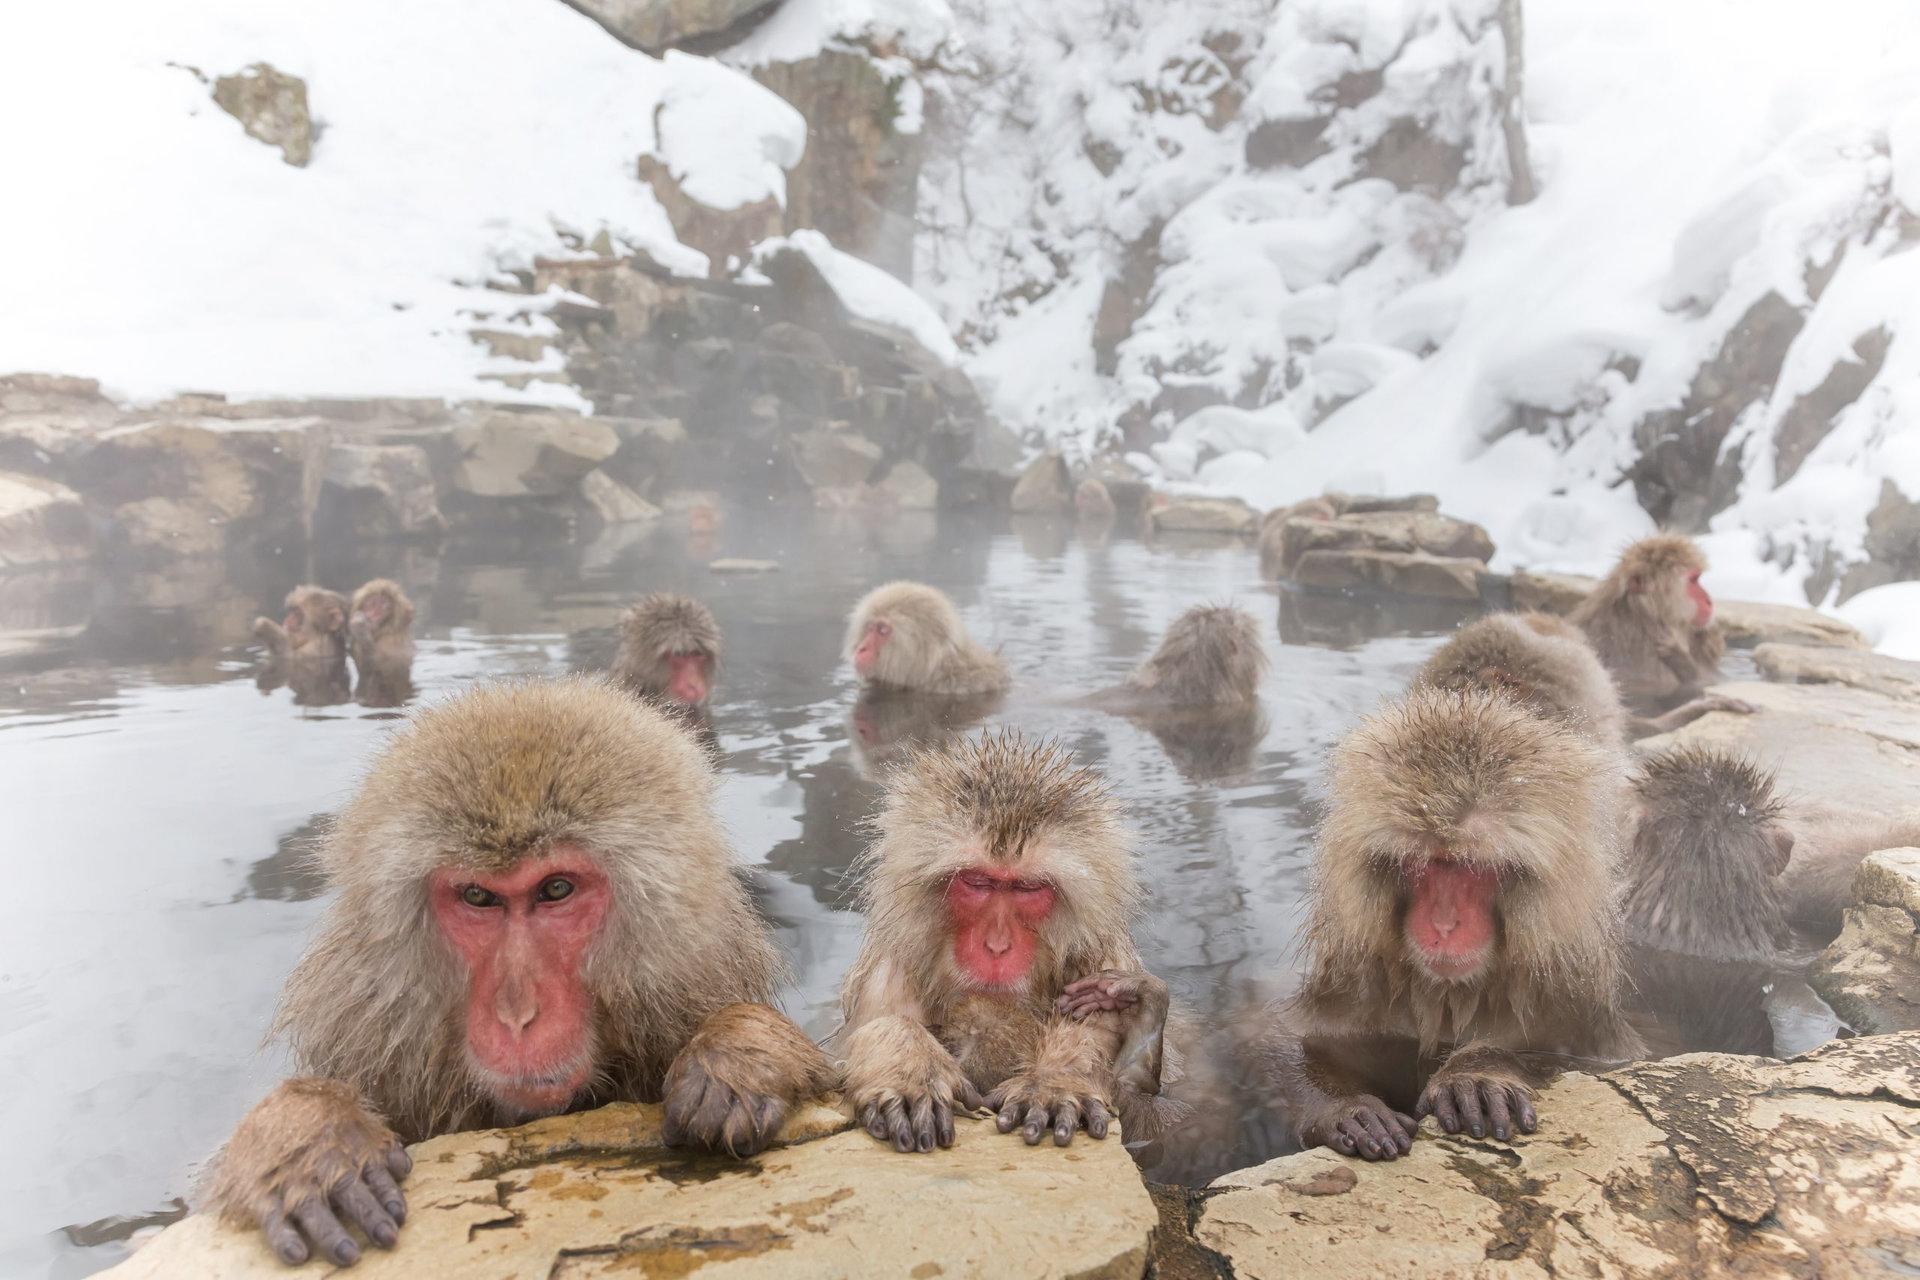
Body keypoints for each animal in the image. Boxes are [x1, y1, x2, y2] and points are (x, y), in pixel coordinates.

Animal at [345, 579, 415, 709]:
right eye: (371, 604)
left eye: (385, 608)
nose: (371, 616)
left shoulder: (390, 643)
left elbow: (372, 659)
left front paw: (359, 625)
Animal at [838, 732, 1177, 1154]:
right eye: (977, 882)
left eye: (1027, 887)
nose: (997, 947)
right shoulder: (892, 961)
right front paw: (908, 1065)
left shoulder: (1101, 957)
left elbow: (1147, 1103)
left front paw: (1055, 1079)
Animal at [1268, 687, 1641, 1160]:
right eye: (1425, 864)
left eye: (1471, 868)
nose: (1444, 926)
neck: (1452, 994)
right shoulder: (1355, 983)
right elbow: (1282, 1036)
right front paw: (1344, 1109)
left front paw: (1477, 1075)